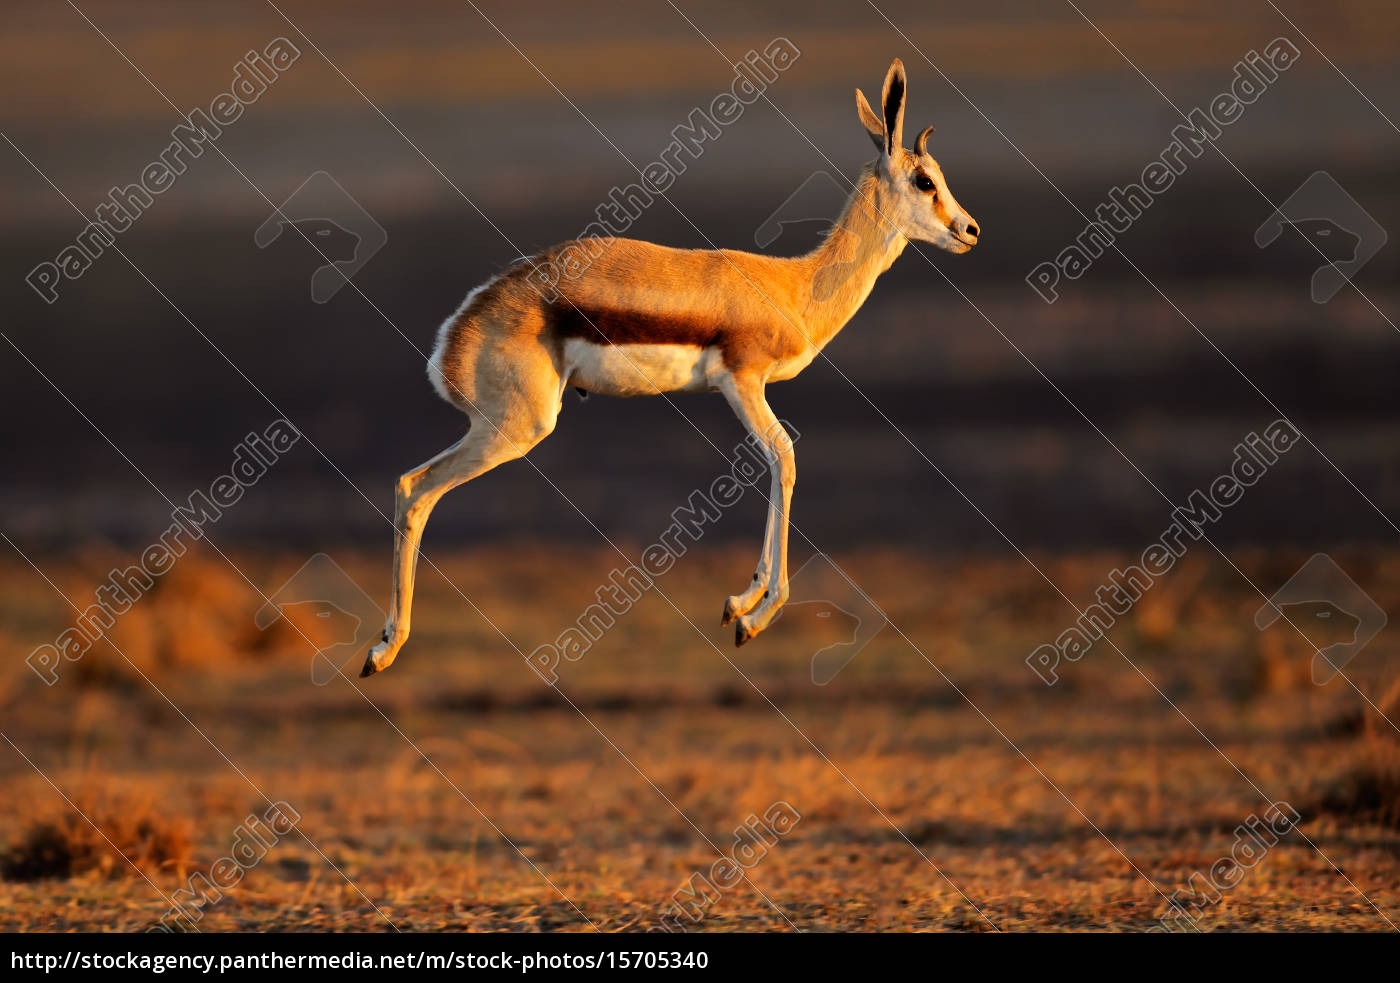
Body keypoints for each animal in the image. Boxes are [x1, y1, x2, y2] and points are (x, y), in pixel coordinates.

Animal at [361, 56, 974, 677]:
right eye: (925, 181)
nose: (970, 230)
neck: (796, 287)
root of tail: (463, 324)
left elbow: (773, 461)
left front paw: (740, 604)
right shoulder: (742, 381)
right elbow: (783, 455)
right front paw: (753, 614)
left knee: (411, 487)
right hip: (519, 427)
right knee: (415, 488)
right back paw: (383, 650)